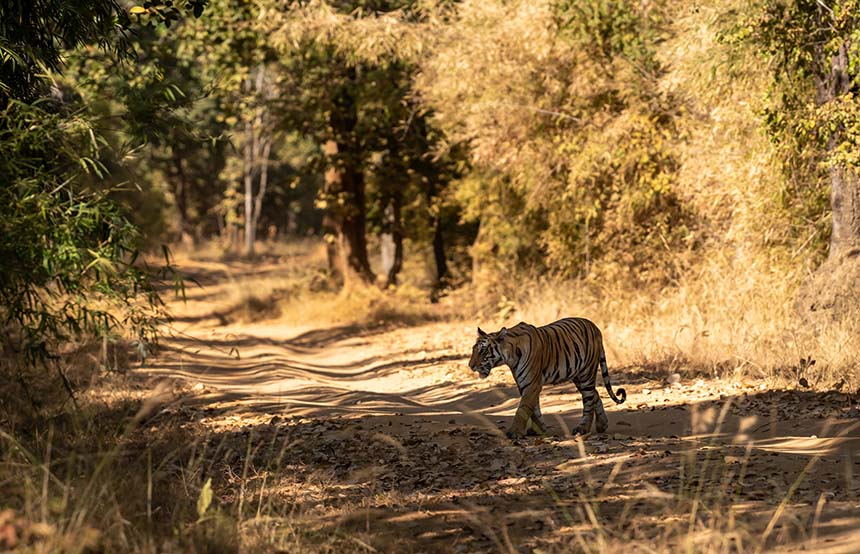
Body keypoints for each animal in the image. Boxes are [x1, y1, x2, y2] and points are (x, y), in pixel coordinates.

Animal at [470, 316, 624, 438]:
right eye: (473, 350)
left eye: (482, 351)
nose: (470, 365)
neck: (509, 356)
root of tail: (595, 327)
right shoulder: (526, 384)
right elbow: (534, 409)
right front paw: (539, 429)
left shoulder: (531, 383)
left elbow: (522, 409)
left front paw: (514, 432)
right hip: (578, 376)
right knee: (595, 394)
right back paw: (602, 425)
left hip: (586, 373)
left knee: (588, 401)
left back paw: (583, 428)